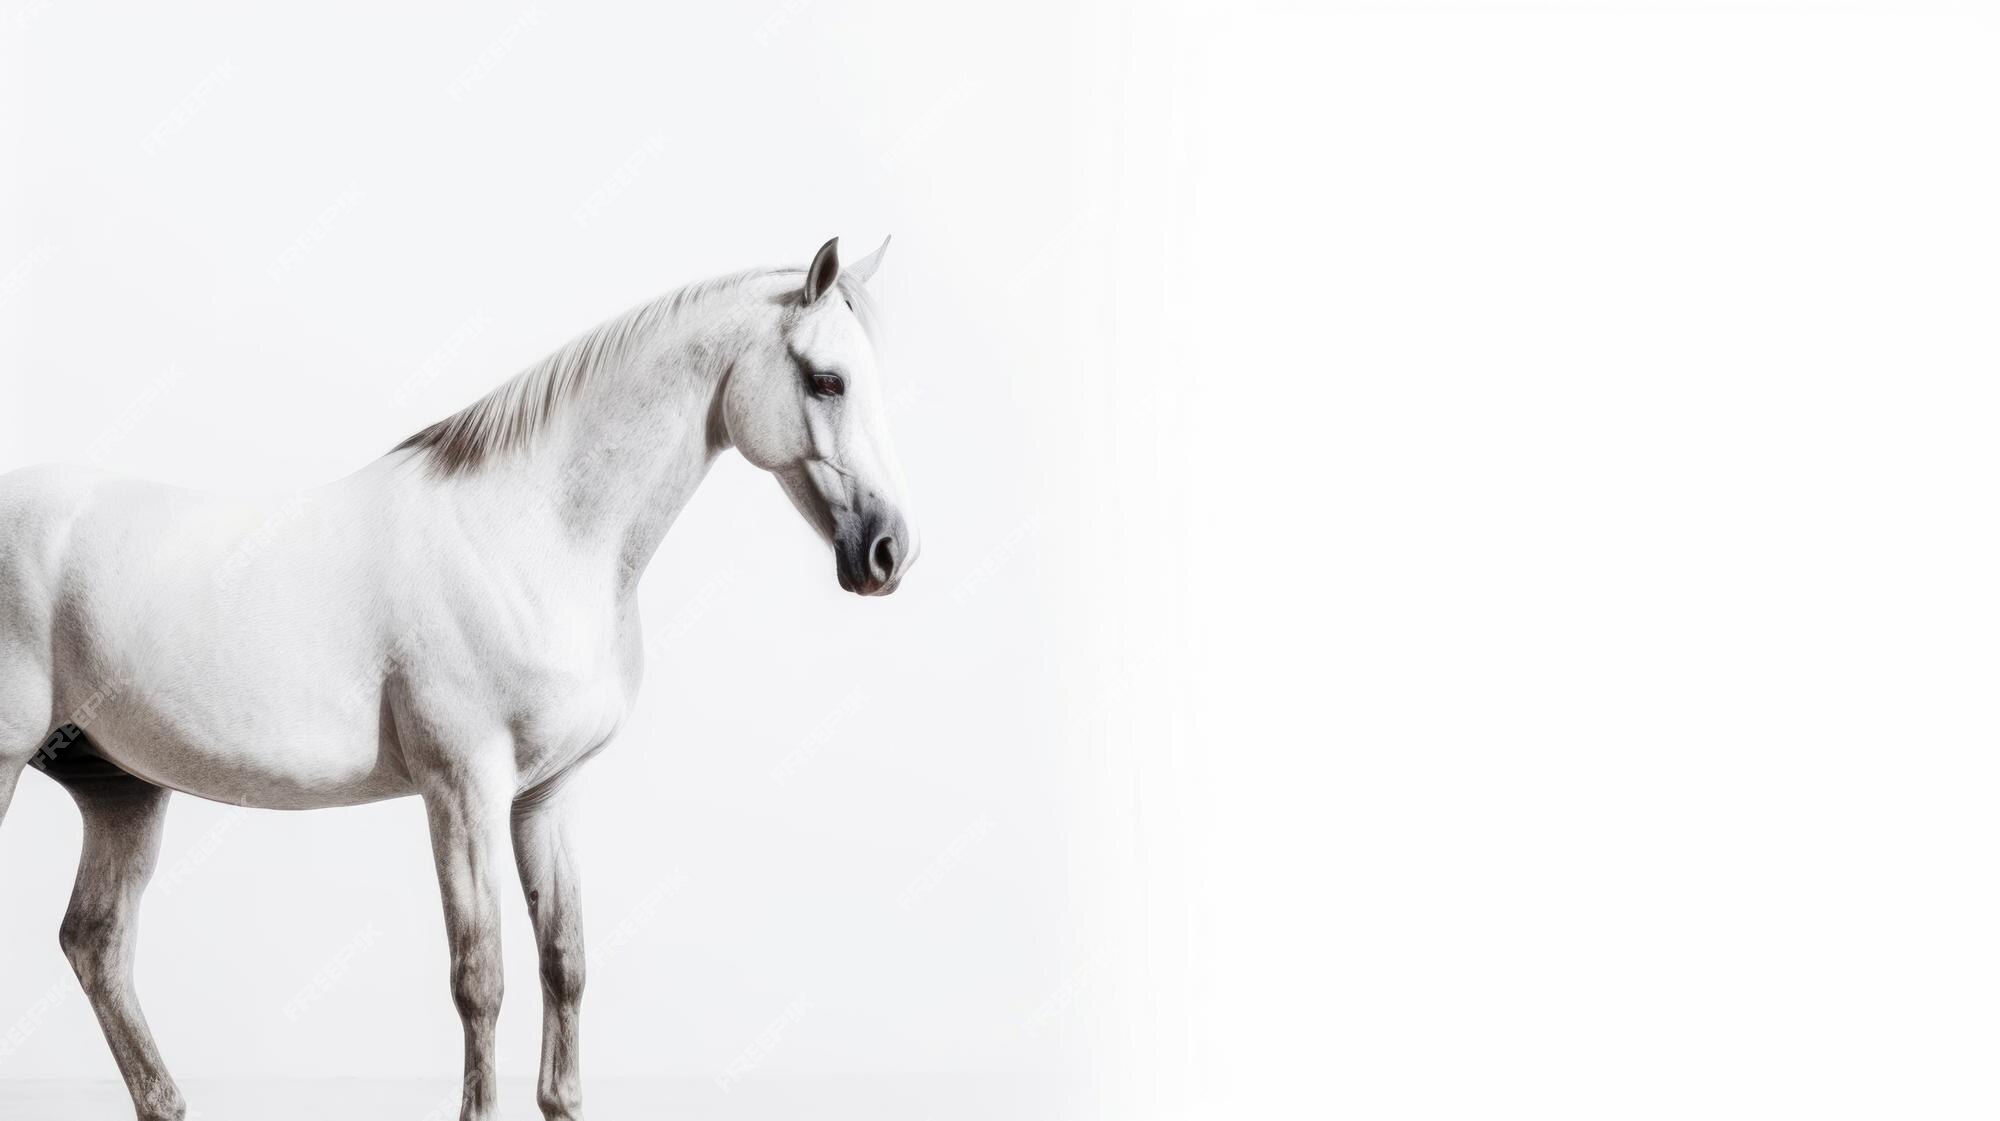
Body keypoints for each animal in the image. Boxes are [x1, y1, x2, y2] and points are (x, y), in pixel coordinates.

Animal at [0, 238, 916, 1121]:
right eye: (827, 379)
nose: (888, 551)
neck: (530, 535)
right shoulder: (462, 787)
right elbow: (481, 977)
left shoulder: (546, 795)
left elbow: (564, 961)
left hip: (119, 790)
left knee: (96, 941)